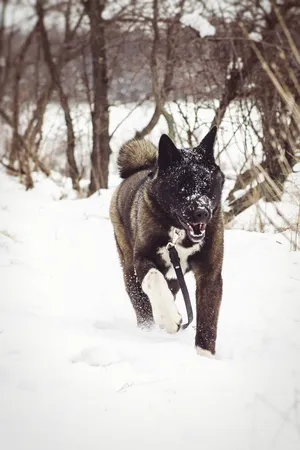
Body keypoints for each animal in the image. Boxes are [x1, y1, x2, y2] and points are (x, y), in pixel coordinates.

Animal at [109, 125, 224, 356]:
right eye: (181, 187)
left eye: (207, 185)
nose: (202, 213)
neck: (180, 233)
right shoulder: (142, 258)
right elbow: (154, 279)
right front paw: (171, 320)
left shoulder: (211, 275)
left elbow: (208, 323)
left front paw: (204, 358)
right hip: (129, 269)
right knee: (143, 304)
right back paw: (151, 329)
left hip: (174, 278)